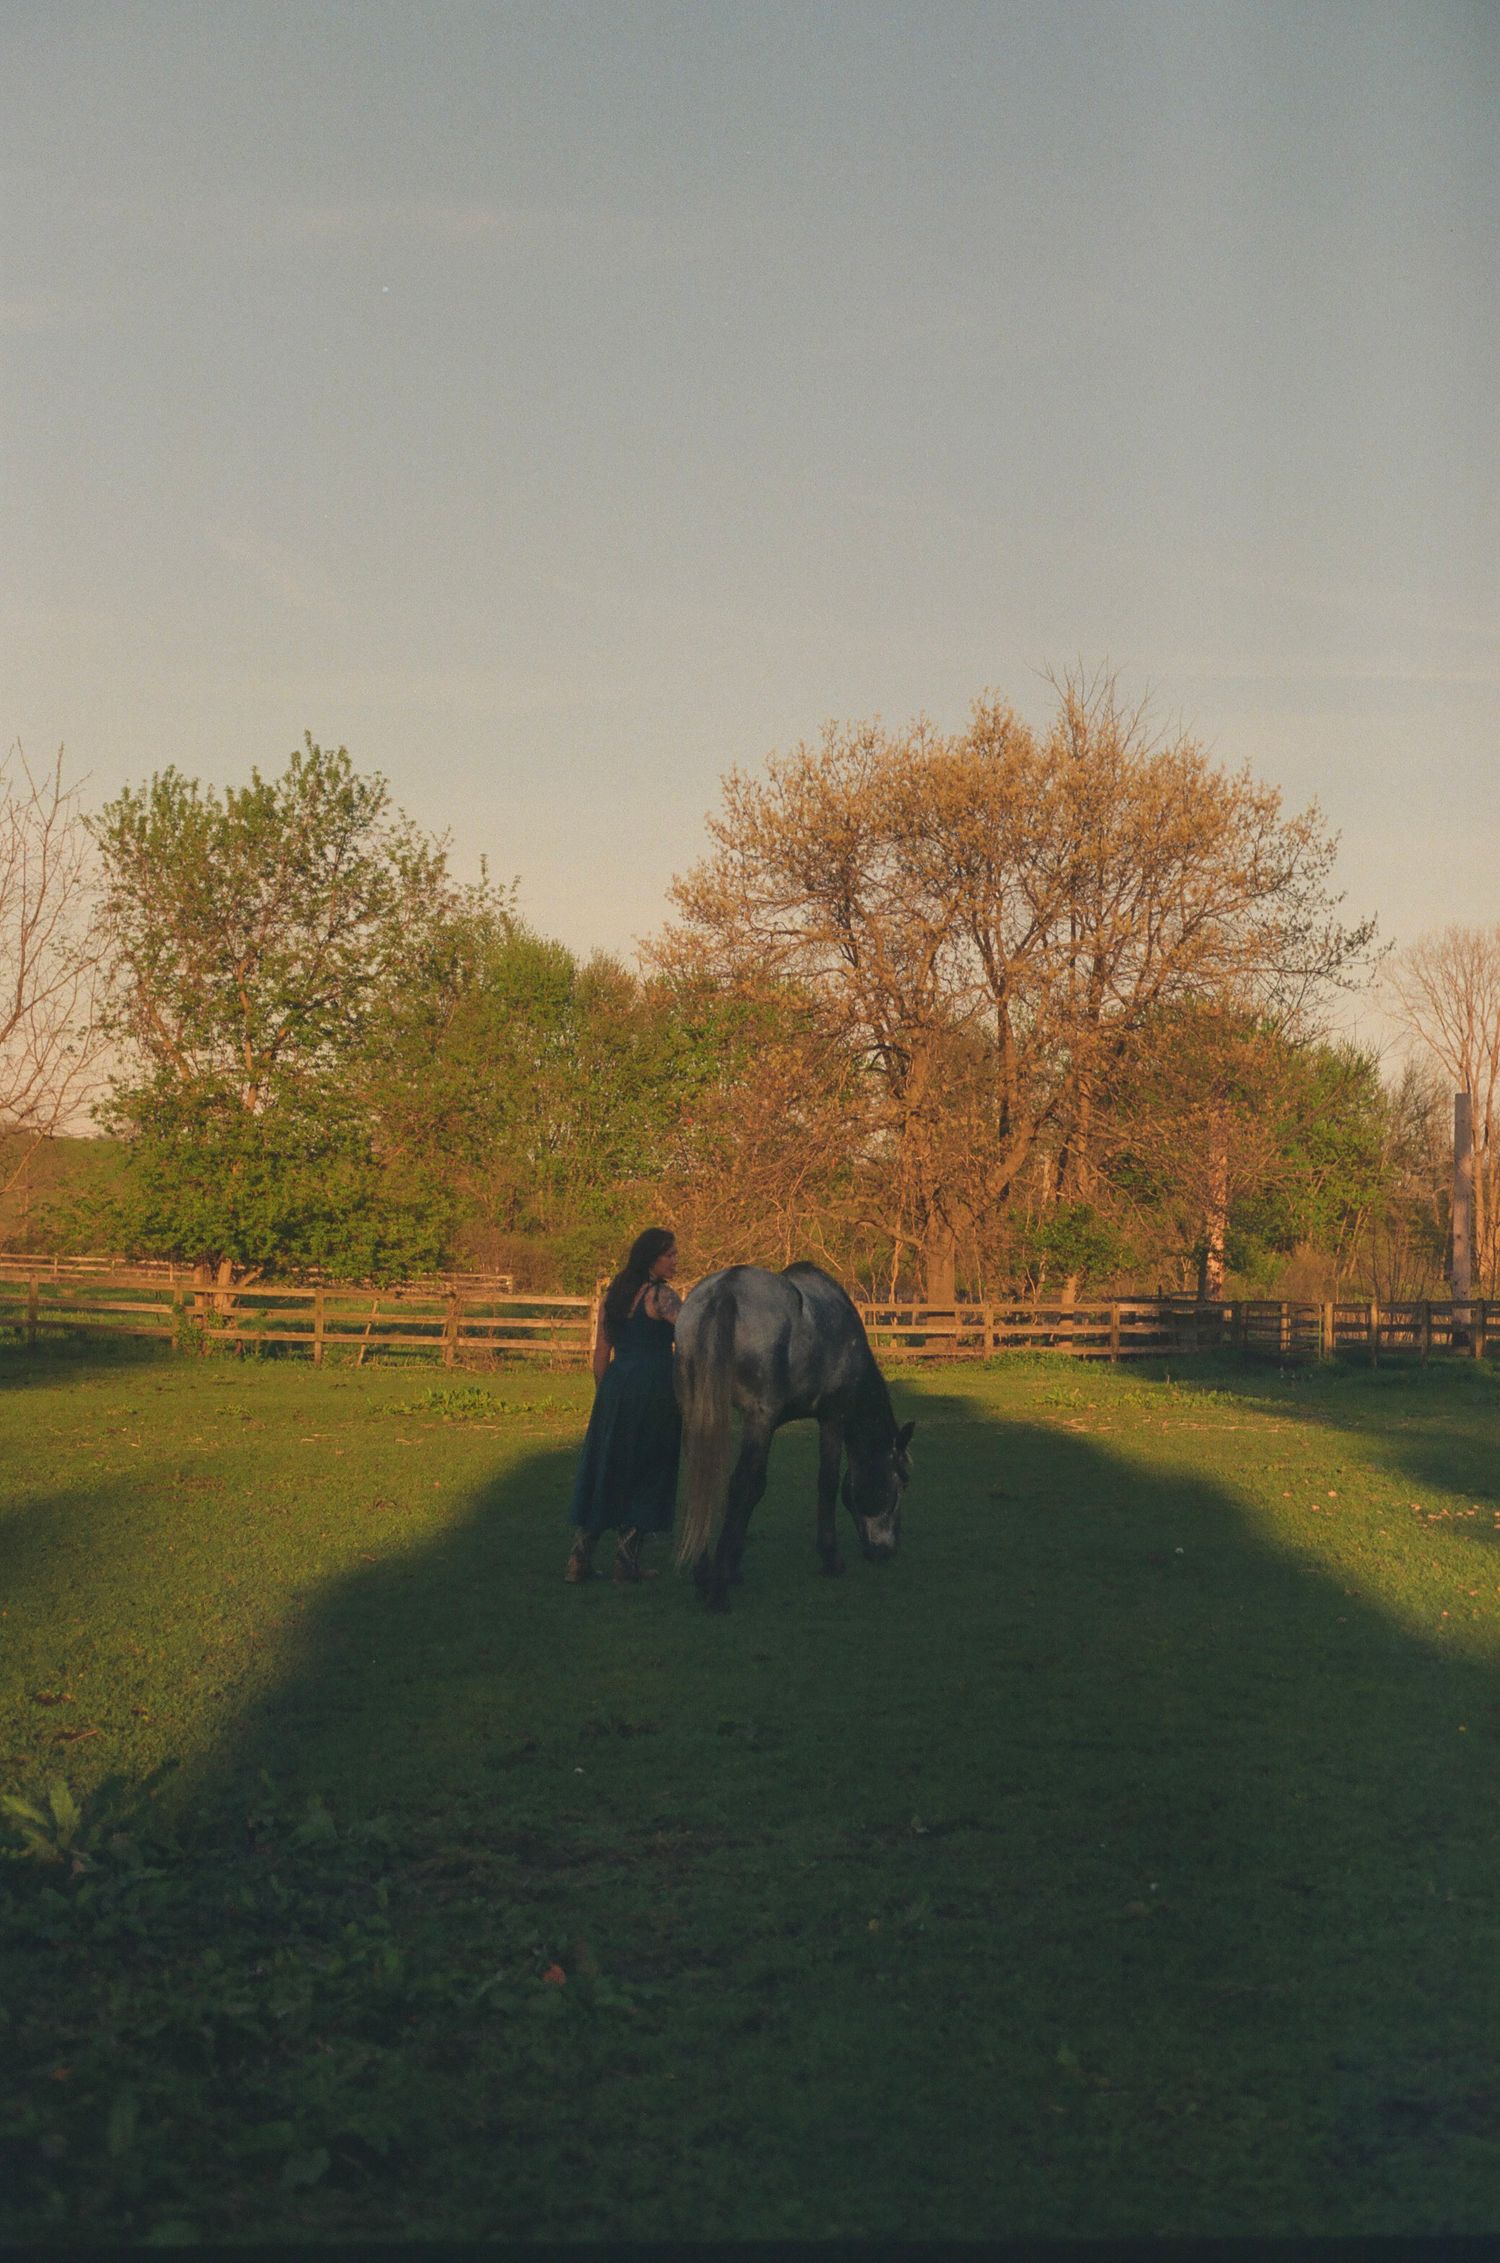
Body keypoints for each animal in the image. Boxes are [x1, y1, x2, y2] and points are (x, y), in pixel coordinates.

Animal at [673, 1261, 915, 1610]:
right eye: (902, 1482)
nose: (887, 1551)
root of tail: (725, 1289)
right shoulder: (832, 1418)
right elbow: (826, 1483)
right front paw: (831, 1558)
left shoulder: (771, 1424)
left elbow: (758, 1488)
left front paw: (733, 1566)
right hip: (758, 1416)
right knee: (737, 1485)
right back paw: (717, 1592)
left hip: (697, 1411)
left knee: (703, 1481)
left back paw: (705, 1573)